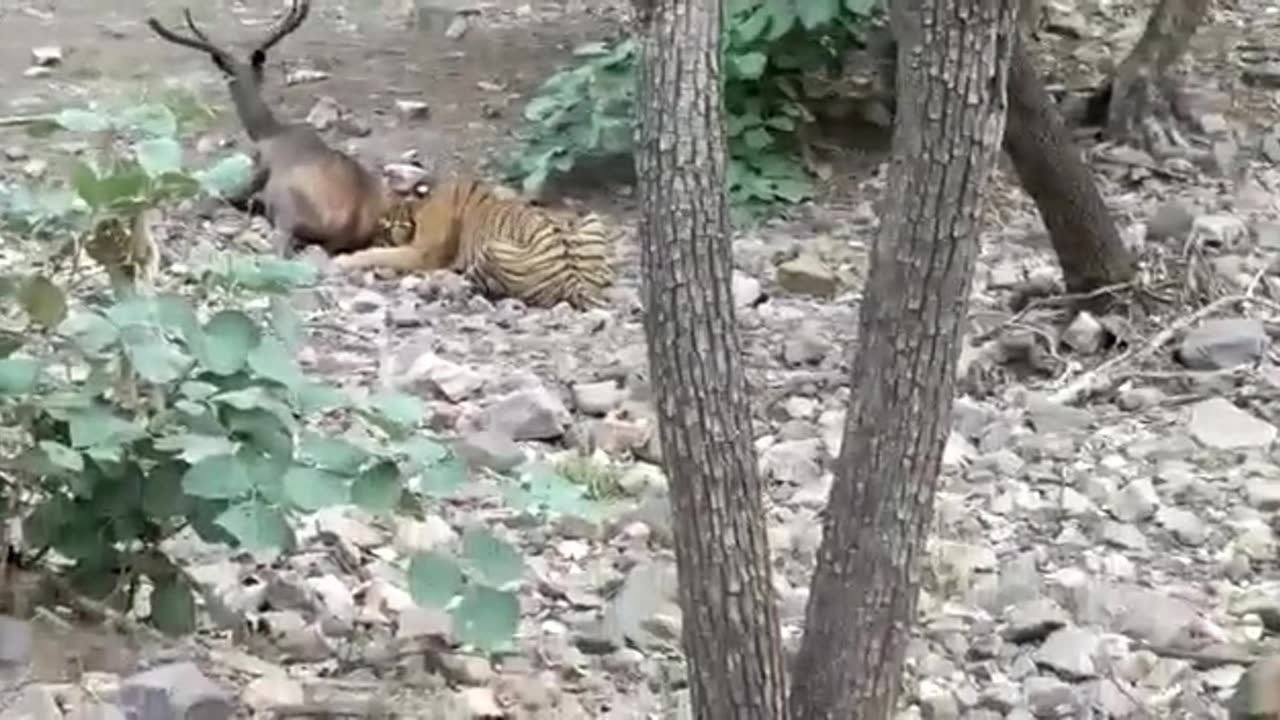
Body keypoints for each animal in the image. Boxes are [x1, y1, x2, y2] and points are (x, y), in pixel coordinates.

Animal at [333, 177, 615, 310]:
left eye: (381, 226)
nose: (370, 236)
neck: (418, 207)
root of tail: (575, 282)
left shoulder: (421, 253)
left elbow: (379, 254)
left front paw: (345, 259)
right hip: (591, 219)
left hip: (491, 249)